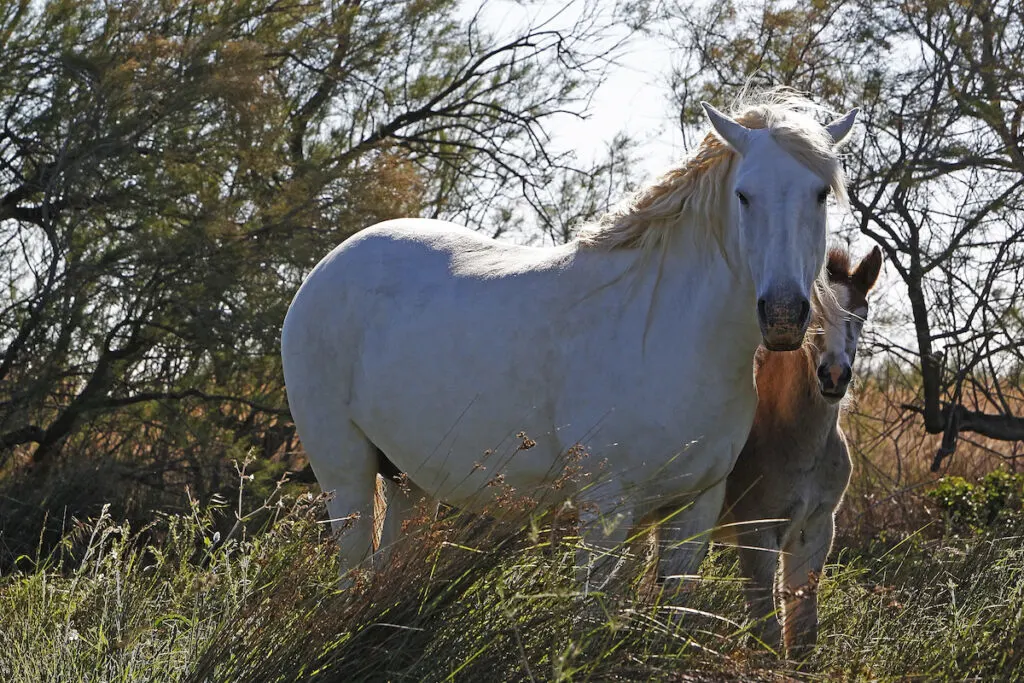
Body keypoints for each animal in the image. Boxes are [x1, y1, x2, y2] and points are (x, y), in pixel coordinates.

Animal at [280, 88, 856, 585]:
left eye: (820, 194)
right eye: (744, 196)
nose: (782, 315)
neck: (669, 334)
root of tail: (326, 268)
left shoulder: (695, 510)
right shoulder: (606, 509)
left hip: (409, 481)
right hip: (346, 479)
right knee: (352, 568)